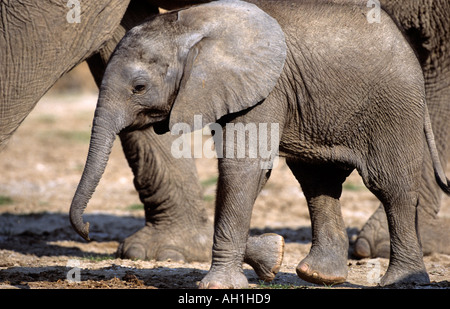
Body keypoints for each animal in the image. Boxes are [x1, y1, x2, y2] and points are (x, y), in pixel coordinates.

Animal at [68, 0, 450, 286]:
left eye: (139, 88)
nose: (86, 233)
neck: (191, 24)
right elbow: (248, 172)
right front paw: (272, 254)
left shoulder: (266, 88)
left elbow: (242, 168)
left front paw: (219, 285)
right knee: (318, 182)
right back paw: (317, 275)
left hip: (393, 106)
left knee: (390, 186)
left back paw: (402, 281)